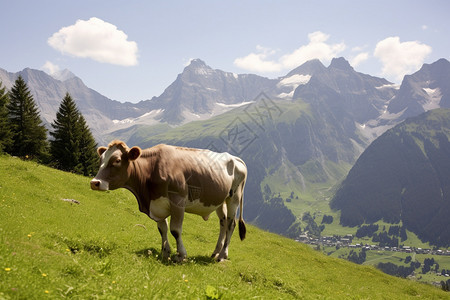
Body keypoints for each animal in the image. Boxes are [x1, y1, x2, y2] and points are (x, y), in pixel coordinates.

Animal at [90, 139, 248, 262]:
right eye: (101, 159)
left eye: (117, 161)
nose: (94, 182)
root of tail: (235, 158)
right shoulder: (157, 204)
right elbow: (162, 229)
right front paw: (165, 252)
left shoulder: (178, 200)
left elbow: (175, 230)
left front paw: (181, 255)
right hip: (220, 201)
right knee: (223, 223)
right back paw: (215, 252)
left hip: (234, 198)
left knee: (231, 224)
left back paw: (222, 255)